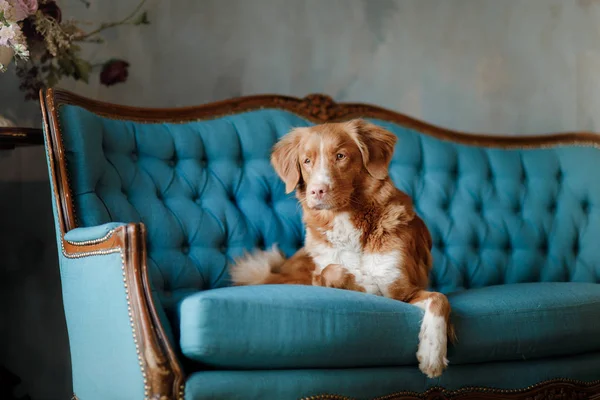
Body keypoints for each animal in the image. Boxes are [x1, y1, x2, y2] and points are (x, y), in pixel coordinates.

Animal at [231, 119, 454, 378]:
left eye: (340, 156)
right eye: (307, 161)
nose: (317, 190)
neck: (347, 222)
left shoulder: (402, 290)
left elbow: (439, 298)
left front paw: (433, 353)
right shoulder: (322, 273)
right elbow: (330, 270)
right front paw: (364, 283)